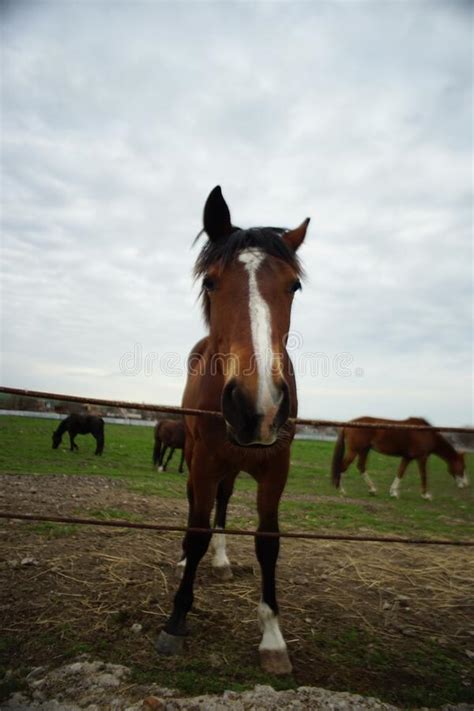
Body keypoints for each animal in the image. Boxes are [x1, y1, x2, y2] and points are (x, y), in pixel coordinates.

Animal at [156, 186, 312, 676]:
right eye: (209, 282)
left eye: (294, 286)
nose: (255, 407)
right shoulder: (205, 462)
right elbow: (196, 531)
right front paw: (176, 619)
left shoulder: (276, 468)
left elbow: (268, 543)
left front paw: (273, 637)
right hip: (195, 456)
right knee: (198, 508)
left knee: (222, 505)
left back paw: (222, 561)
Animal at [332, 418, 468, 500]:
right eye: (462, 467)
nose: (466, 484)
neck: (426, 433)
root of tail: (348, 424)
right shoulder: (422, 458)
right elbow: (423, 476)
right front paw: (425, 495)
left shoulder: (407, 457)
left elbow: (400, 472)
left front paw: (393, 492)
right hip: (354, 450)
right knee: (342, 467)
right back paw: (341, 490)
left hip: (364, 450)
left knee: (361, 467)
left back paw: (372, 489)